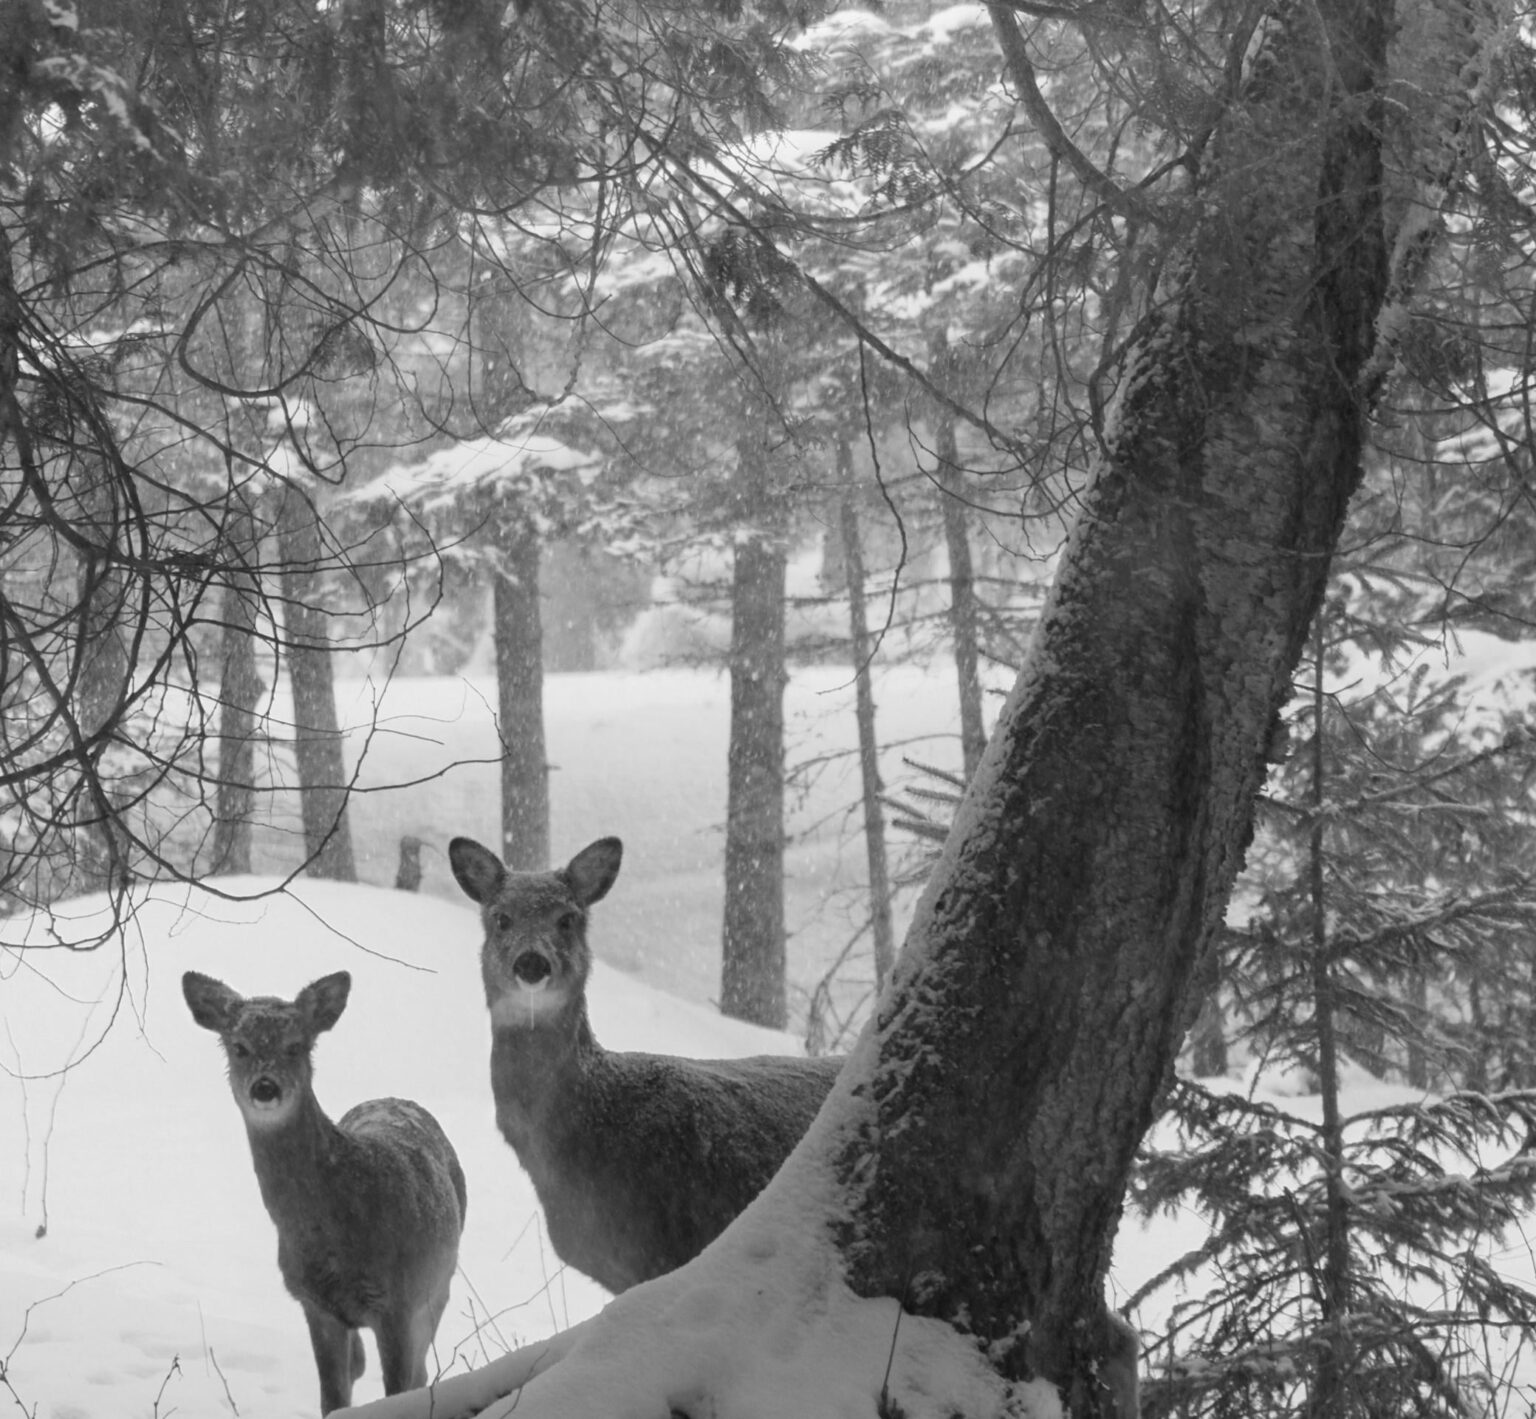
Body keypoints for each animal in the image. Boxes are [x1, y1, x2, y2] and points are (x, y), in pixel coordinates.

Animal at [181, 970, 467, 1416]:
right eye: (239, 1046)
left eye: (295, 1046)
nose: (266, 1087)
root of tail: (397, 1099)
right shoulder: (314, 1305)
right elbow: (332, 1397)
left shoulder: (398, 1302)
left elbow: (399, 1389)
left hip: (440, 1283)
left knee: (420, 1371)